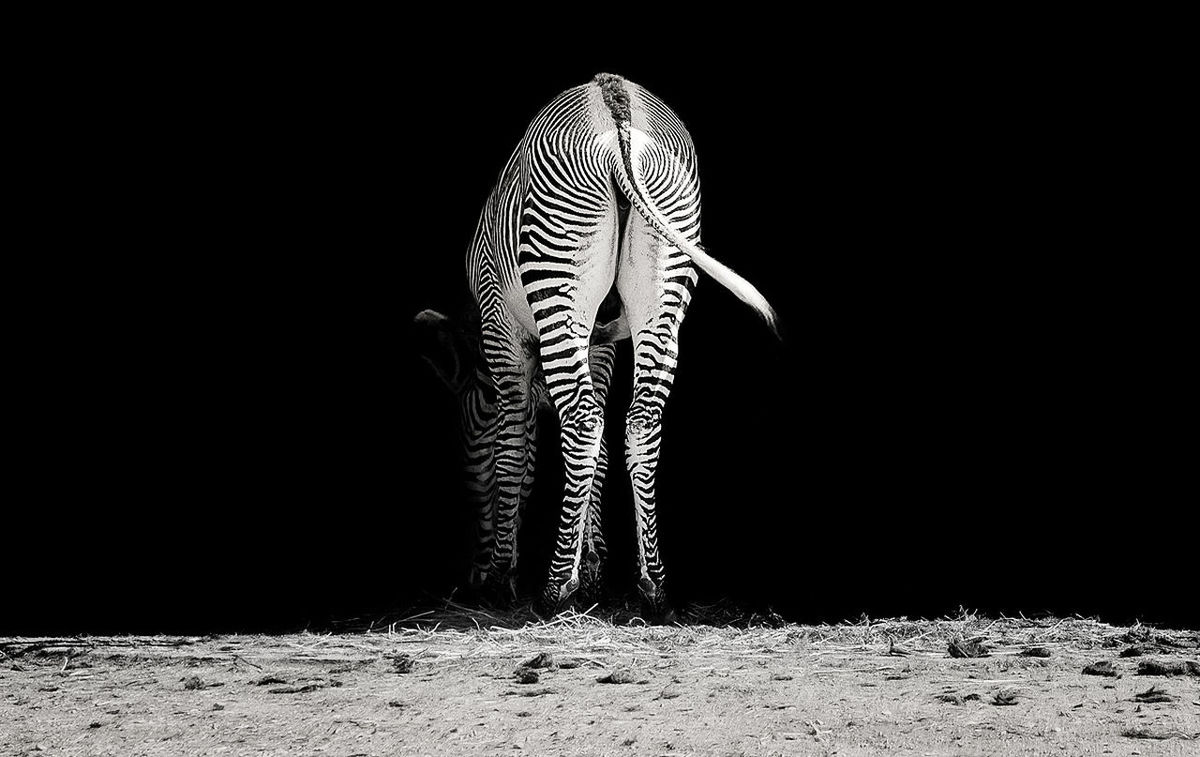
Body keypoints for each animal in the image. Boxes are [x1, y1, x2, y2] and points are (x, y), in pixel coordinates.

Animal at [415, 71, 777, 619]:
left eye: (466, 433)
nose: (470, 580)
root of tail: (617, 109)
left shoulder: (503, 332)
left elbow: (514, 455)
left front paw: (505, 577)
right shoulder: (602, 342)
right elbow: (601, 450)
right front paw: (594, 572)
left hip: (557, 278)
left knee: (584, 423)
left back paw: (553, 588)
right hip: (664, 283)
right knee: (640, 419)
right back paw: (653, 587)